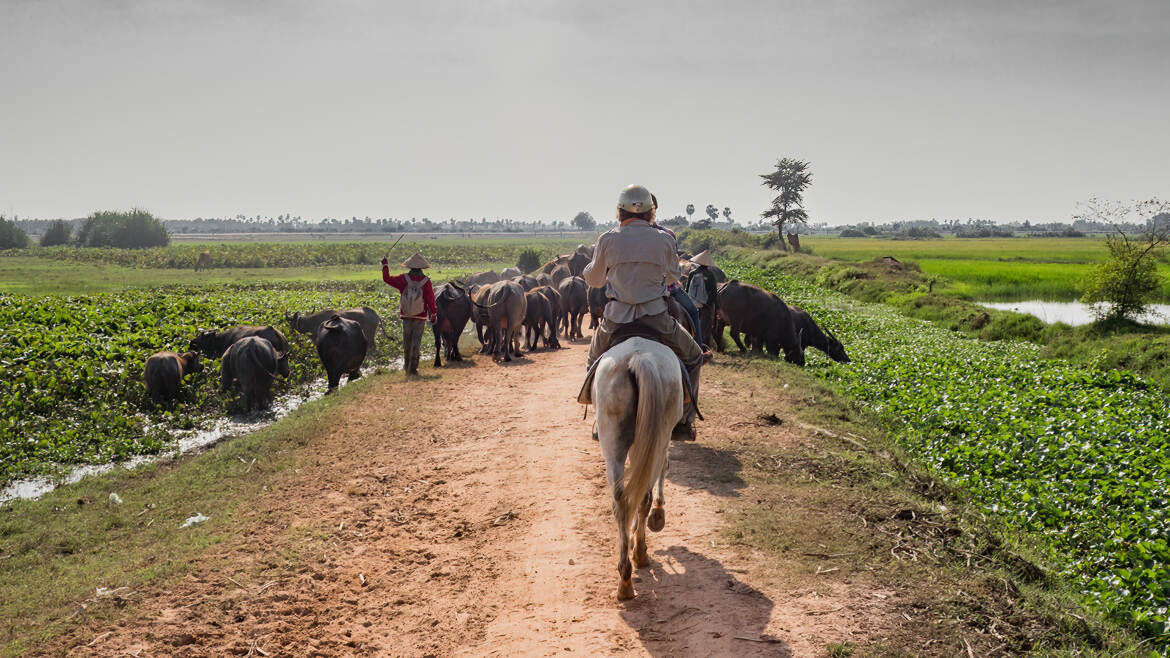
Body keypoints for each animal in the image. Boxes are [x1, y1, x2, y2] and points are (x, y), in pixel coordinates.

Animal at [594, 334, 683, 597]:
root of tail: (639, 357)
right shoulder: (662, 440)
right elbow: (664, 467)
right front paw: (658, 515)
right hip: (656, 436)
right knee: (642, 496)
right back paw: (640, 553)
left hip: (613, 440)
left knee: (621, 502)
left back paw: (625, 579)